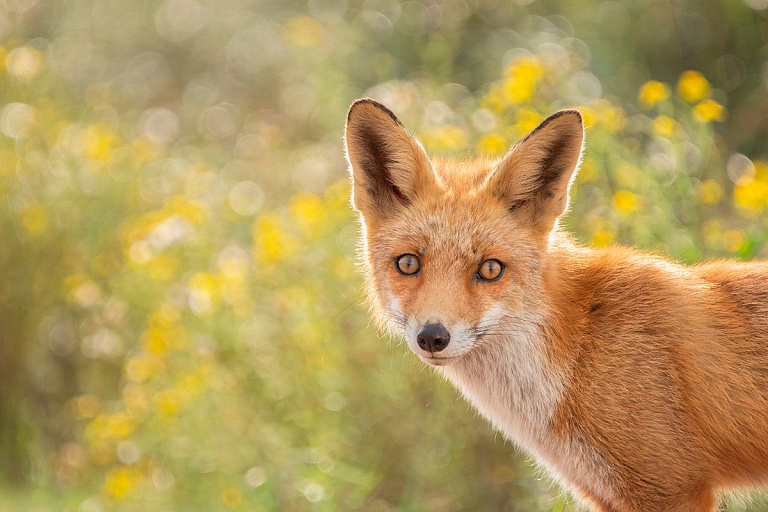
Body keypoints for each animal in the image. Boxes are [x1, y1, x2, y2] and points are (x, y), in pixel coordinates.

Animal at [344, 99, 768, 512]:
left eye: (491, 269)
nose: (433, 336)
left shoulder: (670, 488)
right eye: (408, 264)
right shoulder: (608, 493)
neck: (579, 352)